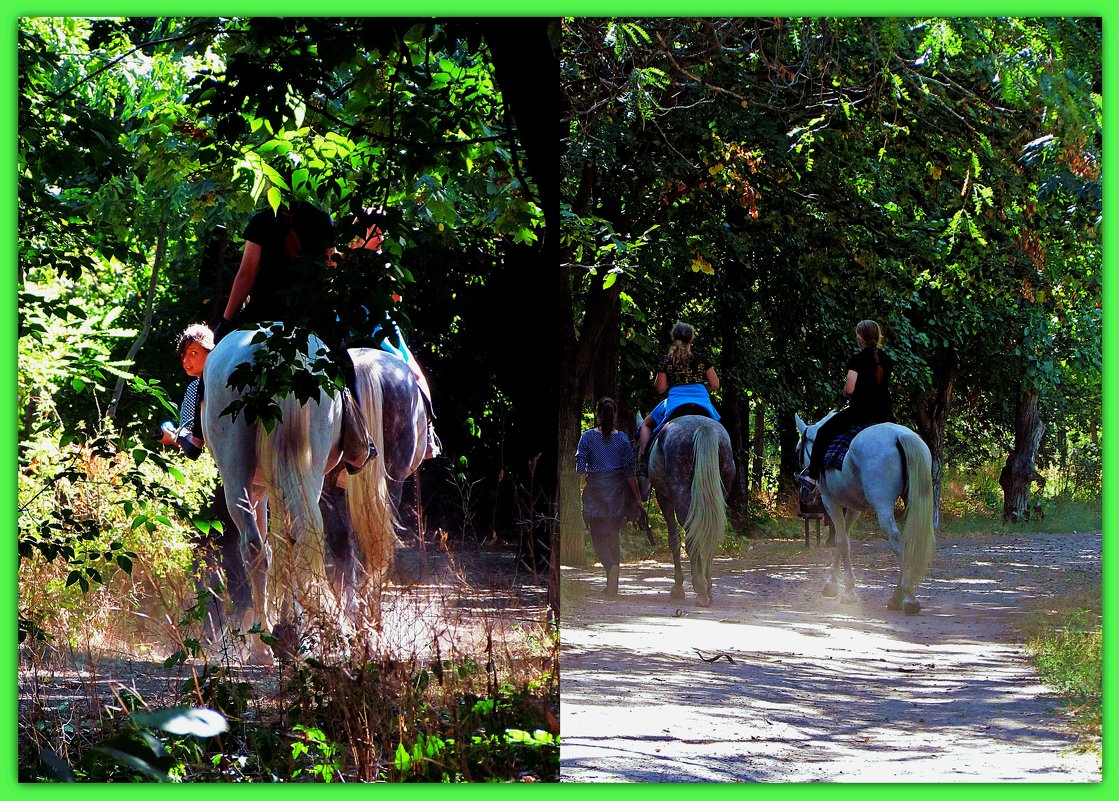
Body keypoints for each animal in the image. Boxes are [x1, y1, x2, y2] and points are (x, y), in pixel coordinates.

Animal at [203, 326, 396, 662]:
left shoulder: (260, 489)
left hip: (243, 476)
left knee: (258, 546)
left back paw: (267, 641)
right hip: (305, 470)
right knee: (298, 537)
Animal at [649, 416, 734, 604]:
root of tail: (703, 426)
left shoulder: (664, 498)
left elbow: (674, 539)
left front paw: (678, 587)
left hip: (680, 492)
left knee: (690, 538)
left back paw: (700, 589)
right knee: (710, 535)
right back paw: (707, 587)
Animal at [792, 413, 939, 613]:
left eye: (798, 450)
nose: (804, 492)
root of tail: (900, 435)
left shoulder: (831, 503)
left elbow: (842, 541)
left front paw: (848, 592)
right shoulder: (854, 508)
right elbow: (842, 540)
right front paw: (832, 585)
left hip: (882, 504)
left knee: (896, 540)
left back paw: (908, 596)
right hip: (915, 500)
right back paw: (897, 597)